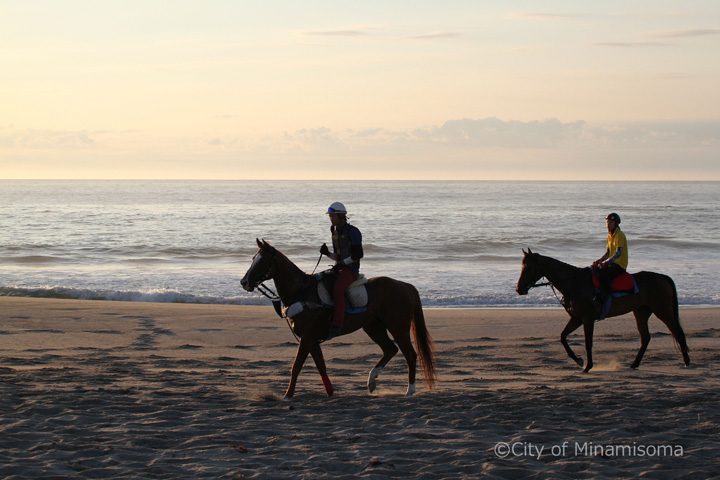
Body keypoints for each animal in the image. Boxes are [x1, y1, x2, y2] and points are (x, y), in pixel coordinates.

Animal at [239, 238, 436, 400]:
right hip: (373, 327)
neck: (302, 292)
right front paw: (330, 392)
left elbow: (296, 366)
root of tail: (404, 285)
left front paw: (288, 395)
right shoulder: (312, 340)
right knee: (390, 349)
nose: (244, 282)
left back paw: (409, 390)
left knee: (409, 354)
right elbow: (321, 366)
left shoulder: (307, 338)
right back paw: (372, 381)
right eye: (253, 259)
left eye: (262, 261)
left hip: (398, 327)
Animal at [516, 249, 688, 374]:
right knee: (645, 338)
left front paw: (588, 366)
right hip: (641, 312)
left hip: (663, 311)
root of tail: (663, 277)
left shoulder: (587, 319)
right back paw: (634, 364)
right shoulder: (576, 318)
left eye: (528, 267)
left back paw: (686, 361)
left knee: (678, 332)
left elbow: (588, 343)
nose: (519, 289)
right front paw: (578, 360)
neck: (574, 284)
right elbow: (563, 337)